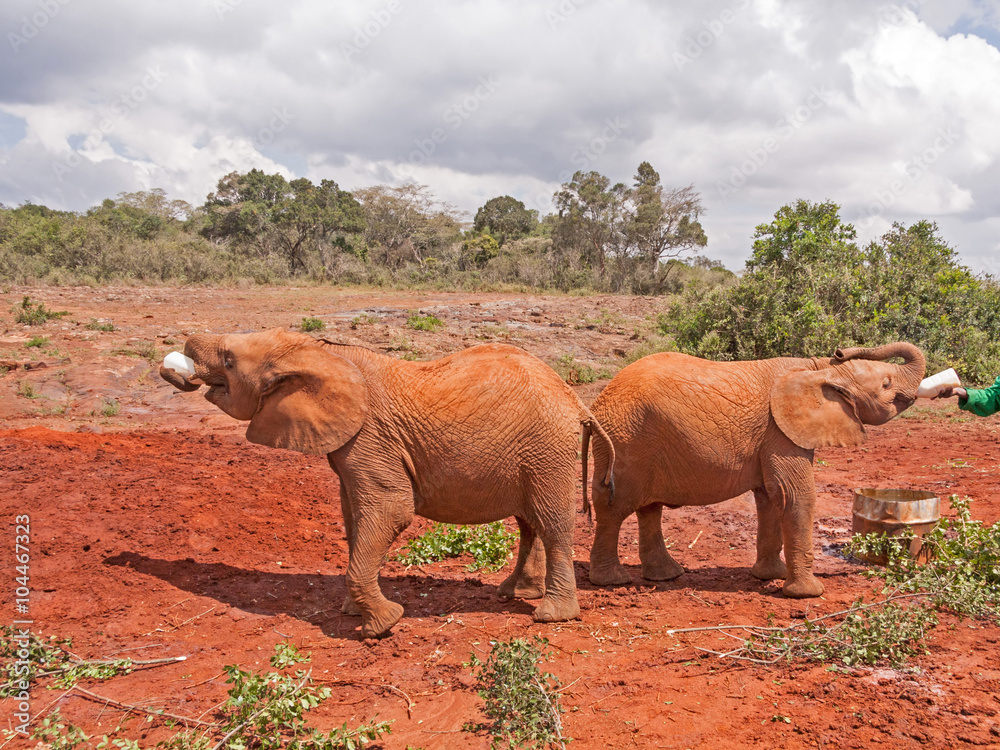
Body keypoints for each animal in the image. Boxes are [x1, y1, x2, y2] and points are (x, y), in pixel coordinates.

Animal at [160, 328, 615, 638]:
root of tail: (576, 401)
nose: (174, 368)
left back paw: (550, 615)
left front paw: (382, 625)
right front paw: (352, 612)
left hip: (547, 448)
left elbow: (390, 509)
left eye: (229, 361)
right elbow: (353, 515)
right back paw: (515, 593)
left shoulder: (369, 436)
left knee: (551, 522)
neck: (319, 351)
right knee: (528, 521)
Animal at [585, 342, 925, 598]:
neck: (819, 369)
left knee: (649, 508)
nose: (841, 350)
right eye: (886, 384)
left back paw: (667, 576)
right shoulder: (781, 432)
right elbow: (796, 496)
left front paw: (769, 576)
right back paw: (613, 581)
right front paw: (808, 594)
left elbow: (771, 498)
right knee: (614, 508)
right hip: (625, 440)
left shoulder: (774, 436)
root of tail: (597, 403)